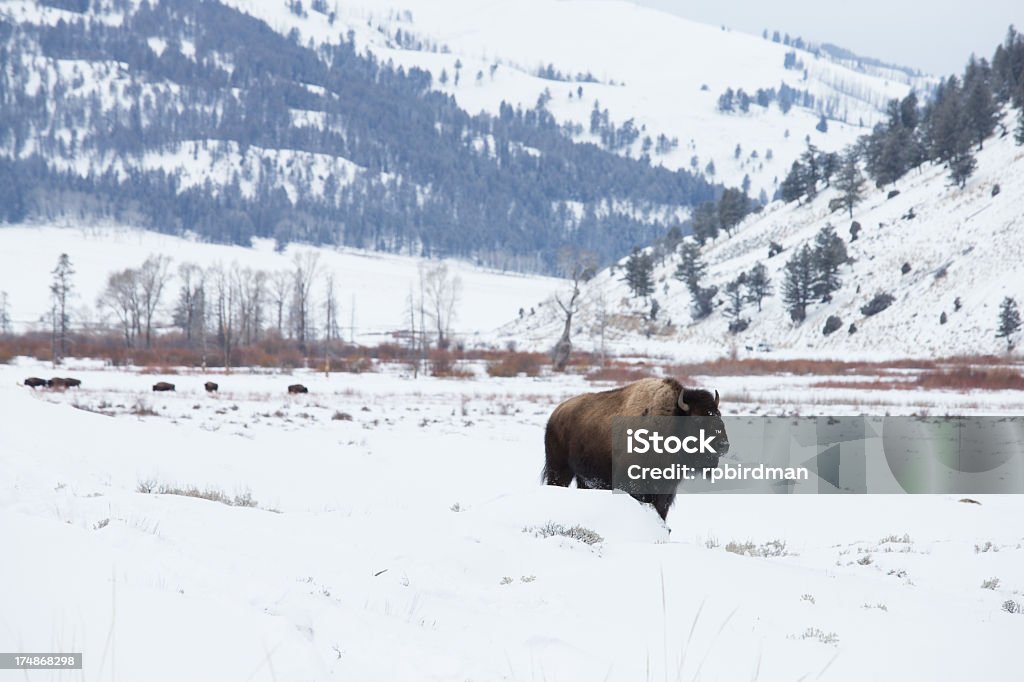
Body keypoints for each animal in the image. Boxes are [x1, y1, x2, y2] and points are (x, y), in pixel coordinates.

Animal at [544, 376, 729, 520]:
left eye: (718, 415)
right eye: (697, 419)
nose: (723, 445)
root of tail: (556, 413)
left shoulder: (665, 491)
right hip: (559, 470)